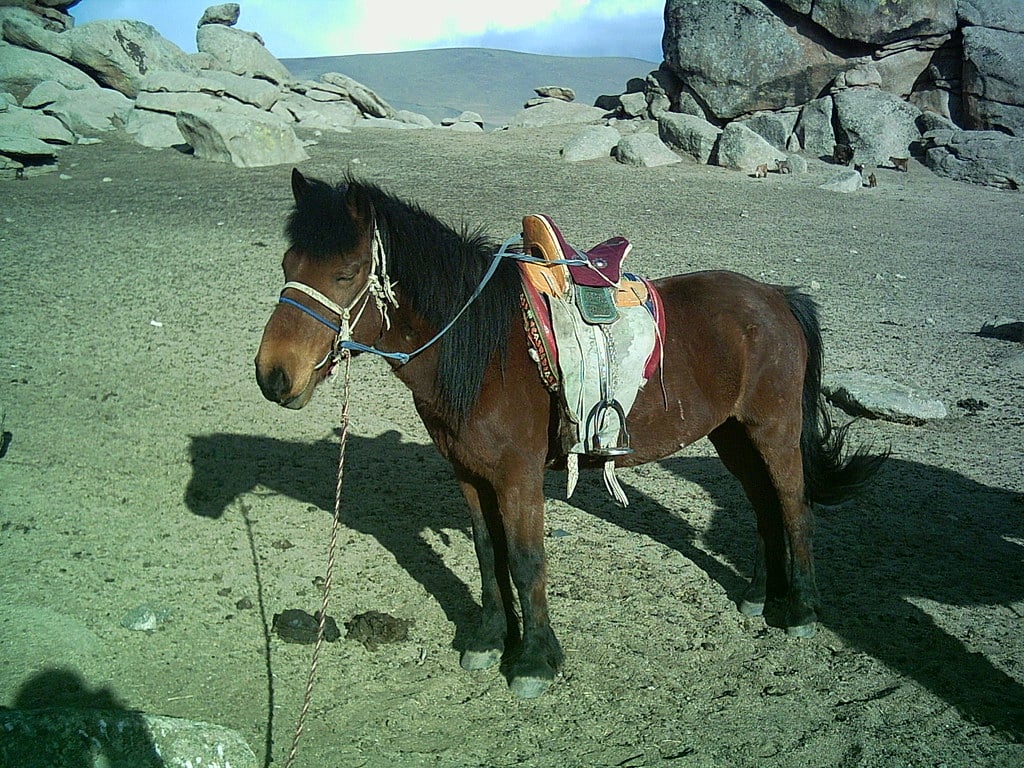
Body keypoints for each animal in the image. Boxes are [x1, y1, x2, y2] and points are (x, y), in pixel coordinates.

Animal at [255, 169, 885, 698]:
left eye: (345, 273)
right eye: (287, 265)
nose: (273, 375)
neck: (484, 348)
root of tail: (777, 297)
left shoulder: (517, 474)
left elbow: (526, 558)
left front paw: (534, 661)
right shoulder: (467, 471)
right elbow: (488, 553)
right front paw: (489, 640)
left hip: (773, 429)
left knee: (794, 504)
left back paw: (802, 610)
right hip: (732, 434)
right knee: (763, 504)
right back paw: (758, 595)